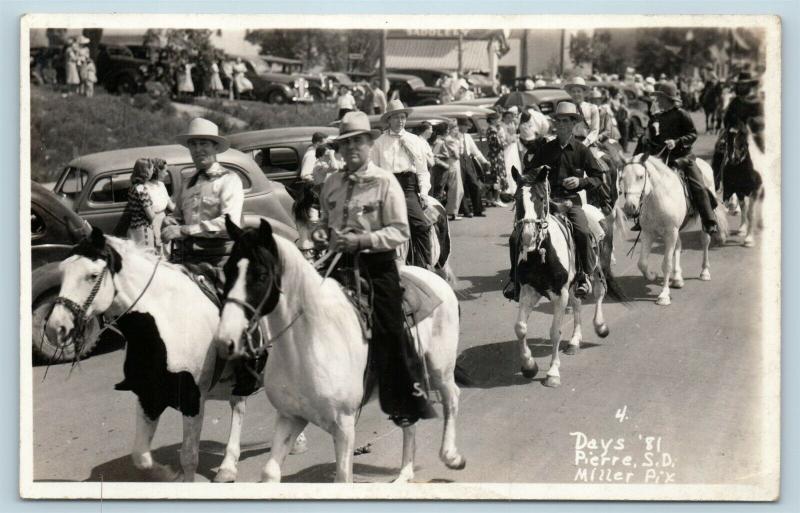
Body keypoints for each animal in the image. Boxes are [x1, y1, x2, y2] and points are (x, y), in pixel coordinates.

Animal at [45, 230, 258, 482]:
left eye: (92, 275)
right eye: (62, 273)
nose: (55, 328)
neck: (168, 320)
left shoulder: (193, 399)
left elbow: (189, 457)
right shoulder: (148, 395)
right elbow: (141, 456)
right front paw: (168, 474)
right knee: (239, 405)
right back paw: (228, 467)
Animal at [212, 218, 466, 482]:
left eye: (261, 275)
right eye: (227, 270)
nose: (225, 340)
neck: (307, 344)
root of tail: (435, 278)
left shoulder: (343, 426)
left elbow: (343, 477)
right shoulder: (290, 417)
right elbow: (270, 472)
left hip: (439, 368)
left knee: (452, 396)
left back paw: (451, 456)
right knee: (410, 421)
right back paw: (404, 474)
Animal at [510, 168, 628, 388]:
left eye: (541, 198)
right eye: (516, 199)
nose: (528, 236)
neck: (541, 252)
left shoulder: (560, 293)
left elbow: (555, 331)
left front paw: (552, 373)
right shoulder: (529, 290)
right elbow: (520, 328)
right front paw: (529, 366)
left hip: (599, 269)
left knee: (599, 294)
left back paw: (600, 326)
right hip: (574, 284)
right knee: (578, 304)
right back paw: (574, 341)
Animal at [620, 154, 732, 306]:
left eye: (640, 176)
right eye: (622, 177)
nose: (629, 207)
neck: (658, 199)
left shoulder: (670, 233)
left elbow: (666, 264)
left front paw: (664, 295)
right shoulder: (648, 233)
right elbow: (642, 263)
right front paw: (652, 275)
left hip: (702, 222)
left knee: (705, 242)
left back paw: (704, 272)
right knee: (678, 246)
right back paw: (677, 278)